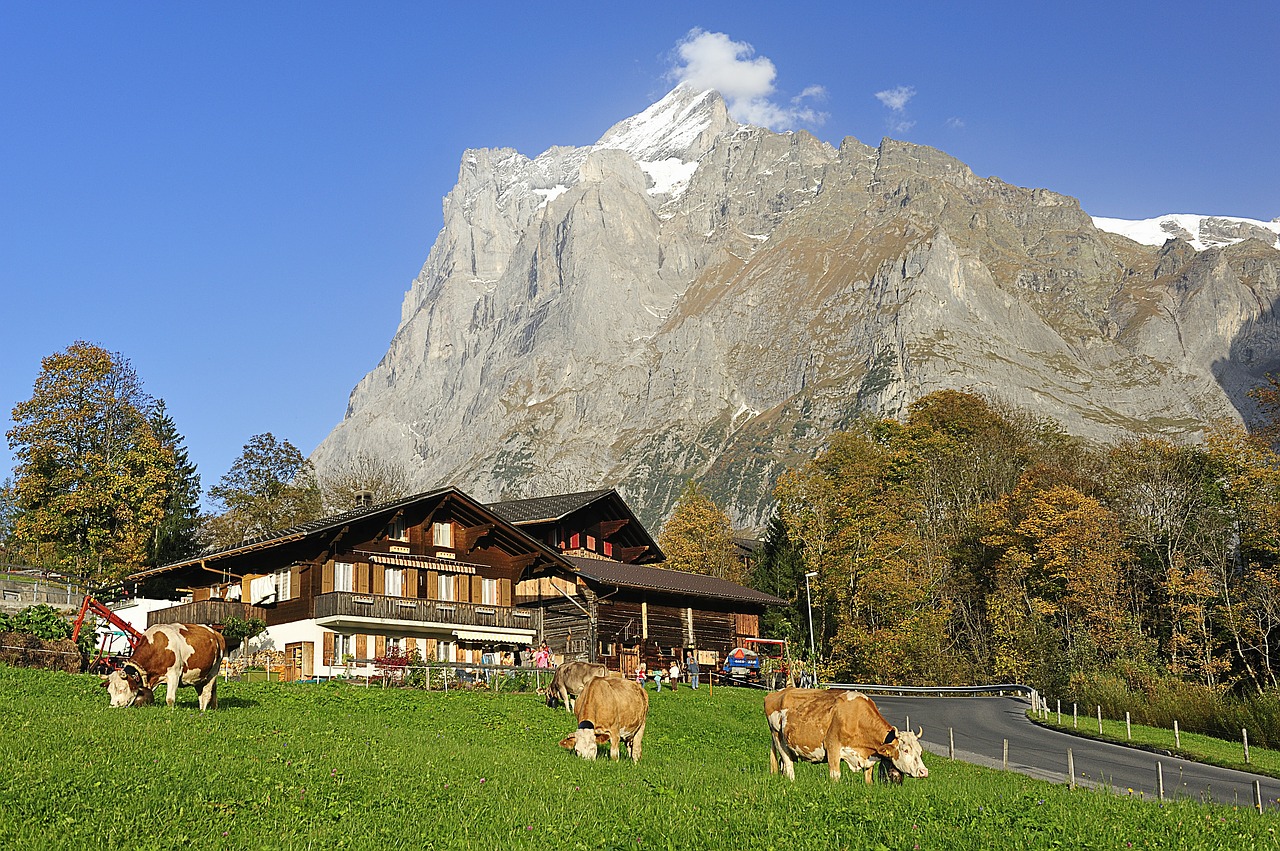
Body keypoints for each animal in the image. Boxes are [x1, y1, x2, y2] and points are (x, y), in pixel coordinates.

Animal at [757, 685, 931, 783]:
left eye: (920, 751)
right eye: (905, 750)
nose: (924, 772)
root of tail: (778, 692)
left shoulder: (869, 758)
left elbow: (869, 779)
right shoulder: (832, 747)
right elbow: (835, 776)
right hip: (778, 738)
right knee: (789, 765)